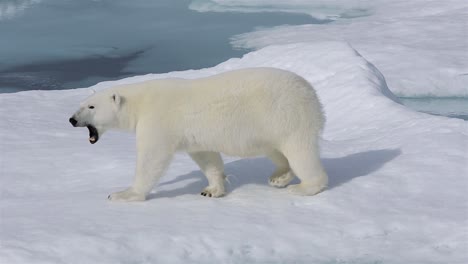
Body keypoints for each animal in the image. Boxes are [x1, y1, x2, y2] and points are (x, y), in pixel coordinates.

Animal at [69, 67, 328, 201]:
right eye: (81, 104)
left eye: (91, 107)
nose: (72, 119)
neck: (140, 102)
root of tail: (311, 92)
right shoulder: (195, 136)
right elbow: (206, 157)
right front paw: (212, 189)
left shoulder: (157, 120)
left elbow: (152, 157)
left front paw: (124, 194)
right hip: (269, 126)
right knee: (274, 150)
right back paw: (279, 177)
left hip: (286, 116)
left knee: (300, 151)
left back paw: (304, 187)